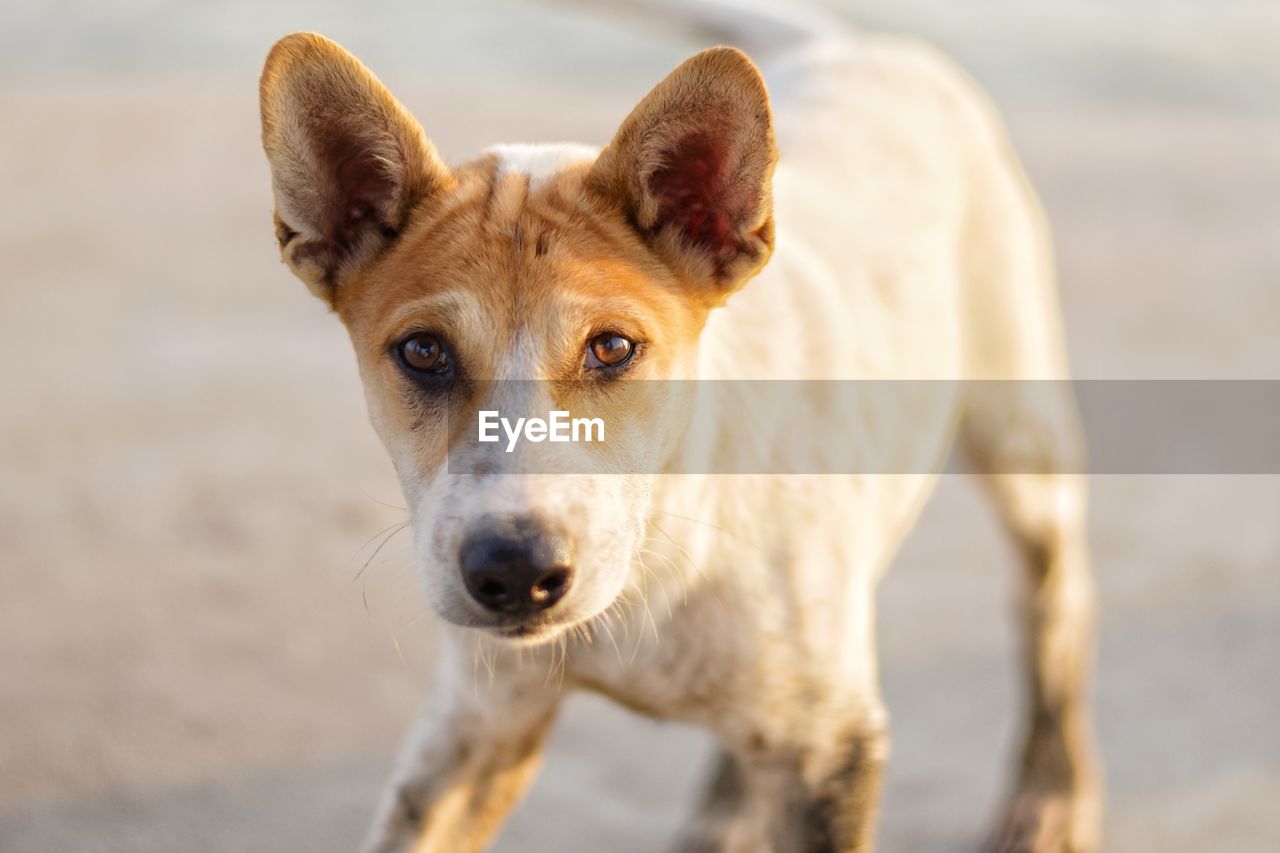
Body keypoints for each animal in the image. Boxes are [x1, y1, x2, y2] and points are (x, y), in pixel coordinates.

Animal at [259, 3, 1100, 845]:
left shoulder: (836, 748)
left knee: (1055, 605)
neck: (658, 554)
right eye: (424, 350)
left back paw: (1052, 793)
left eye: (612, 347)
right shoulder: (478, 719)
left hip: (1022, 444)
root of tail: (860, 43)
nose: (516, 571)